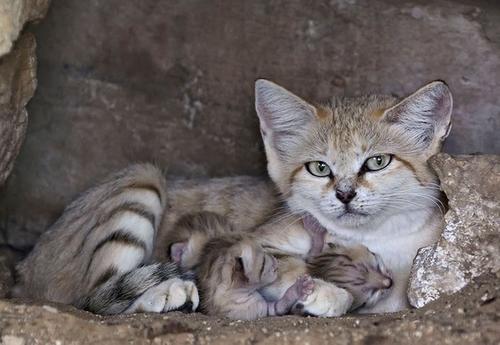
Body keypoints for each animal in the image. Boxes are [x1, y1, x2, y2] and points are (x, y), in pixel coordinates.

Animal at [16, 78, 454, 314]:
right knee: (93, 300)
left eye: (377, 161)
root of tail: (23, 271)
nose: (345, 194)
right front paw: (326, 291)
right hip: (142, 180)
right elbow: (289, 265)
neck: (379, 237)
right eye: (319, 168)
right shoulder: (256, 243)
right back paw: (166, 292)